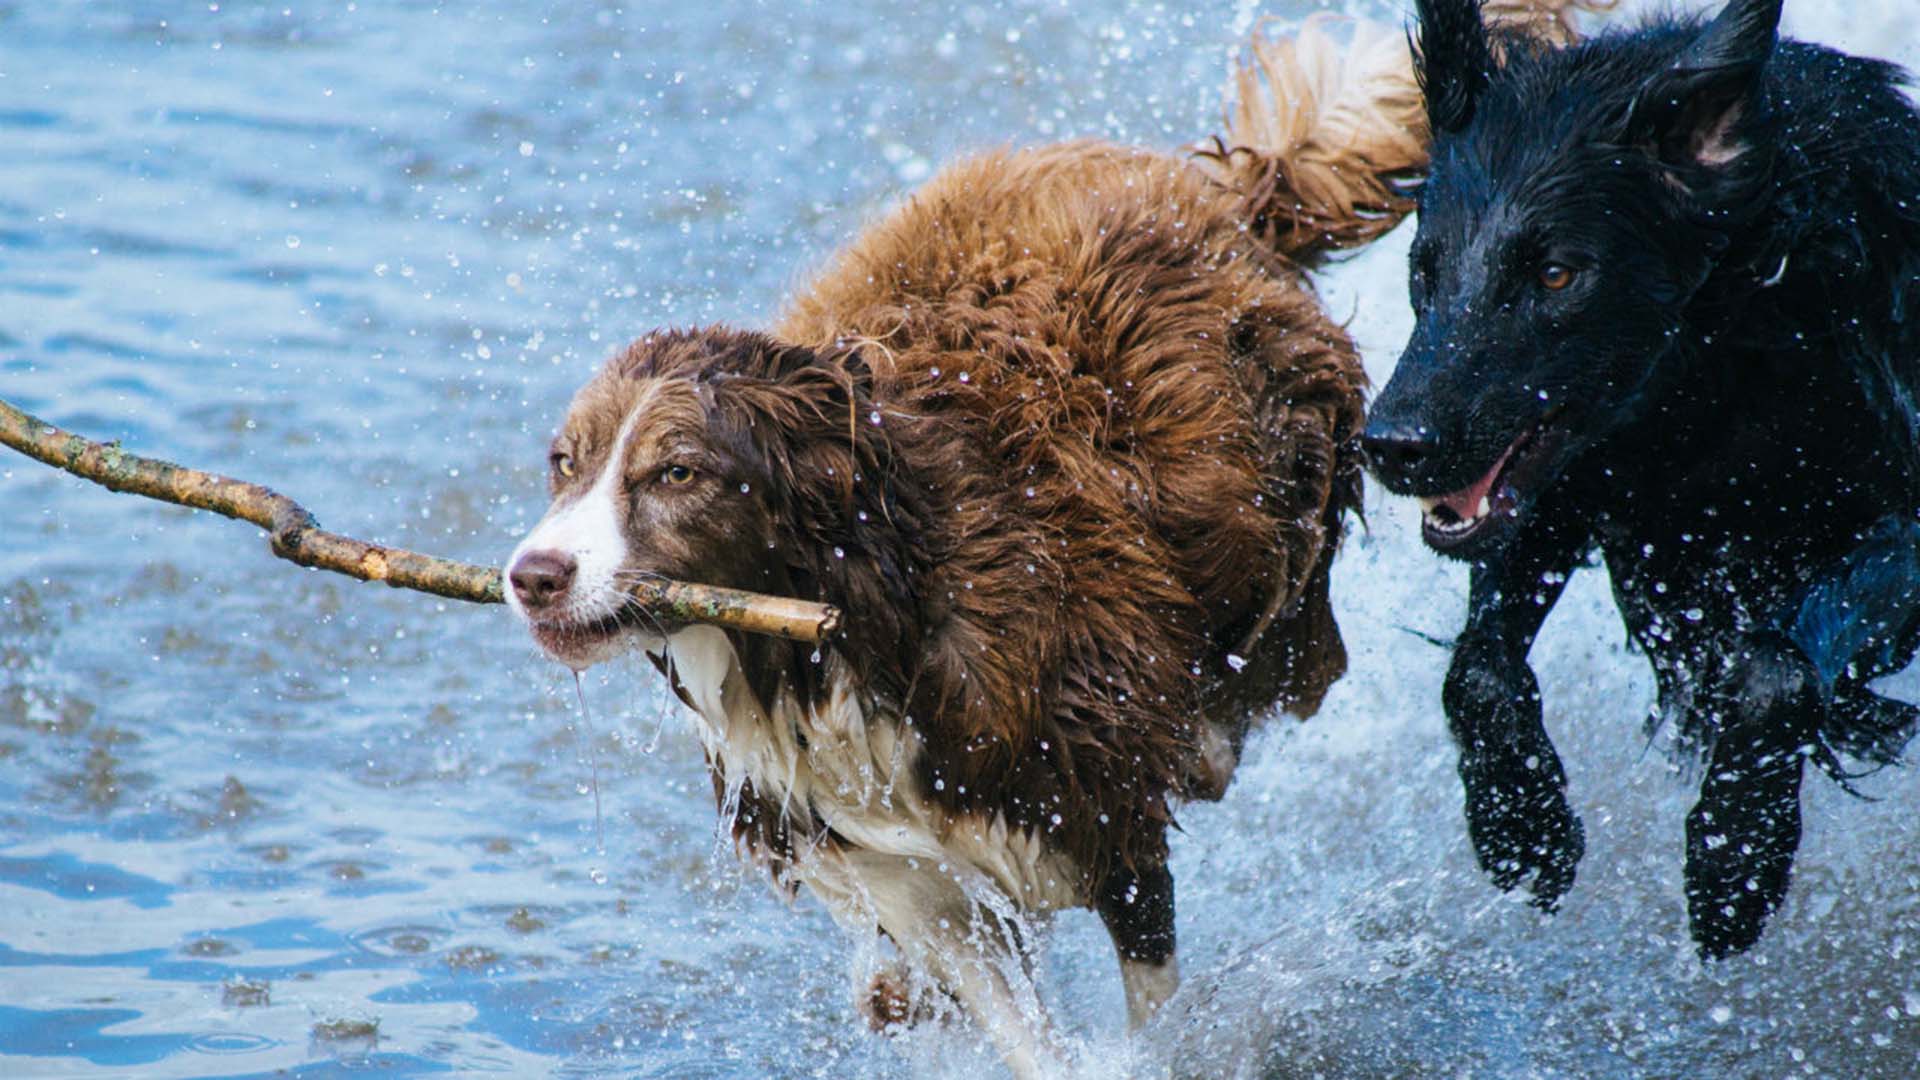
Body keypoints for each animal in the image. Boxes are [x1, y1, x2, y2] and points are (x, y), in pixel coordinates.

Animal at [1367, 0, 1920, 957]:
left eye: (1556, 273)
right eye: (1424, 265)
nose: (1393, 444)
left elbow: (1775, 671)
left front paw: (1735, 859)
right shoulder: (1571, 487)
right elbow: (1476, 669)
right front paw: (1523, 827)